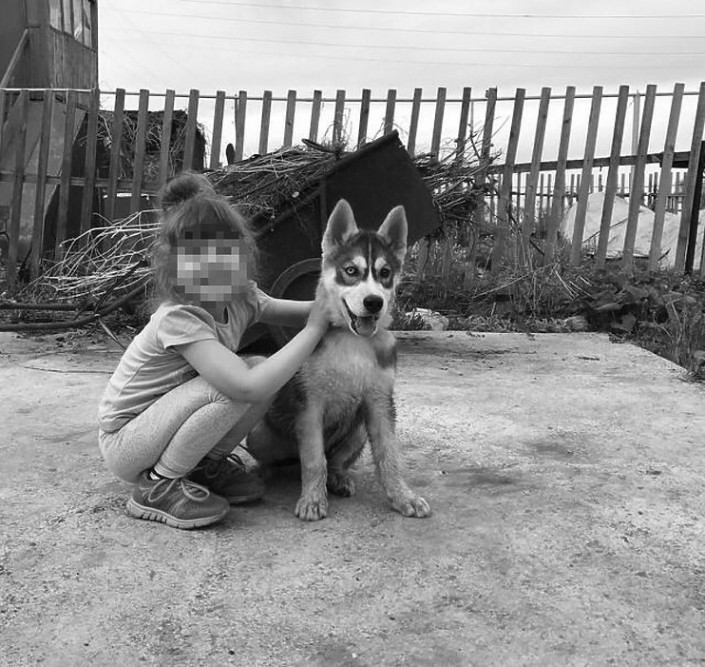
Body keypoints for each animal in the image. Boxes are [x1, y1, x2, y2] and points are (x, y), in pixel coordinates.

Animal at [246, 199, 431, 521]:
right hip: (259, 433)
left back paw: (338, 477)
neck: (352, 340)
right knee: (289, 461)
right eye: (351, 270)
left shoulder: (380, 403)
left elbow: (389, 454)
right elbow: (313, 460)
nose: (374, 303)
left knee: (334, 460)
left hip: (357, 431)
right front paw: (312, 500)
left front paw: (402, 496)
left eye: (385, 273)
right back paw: (263, 473)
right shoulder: (310, 406)